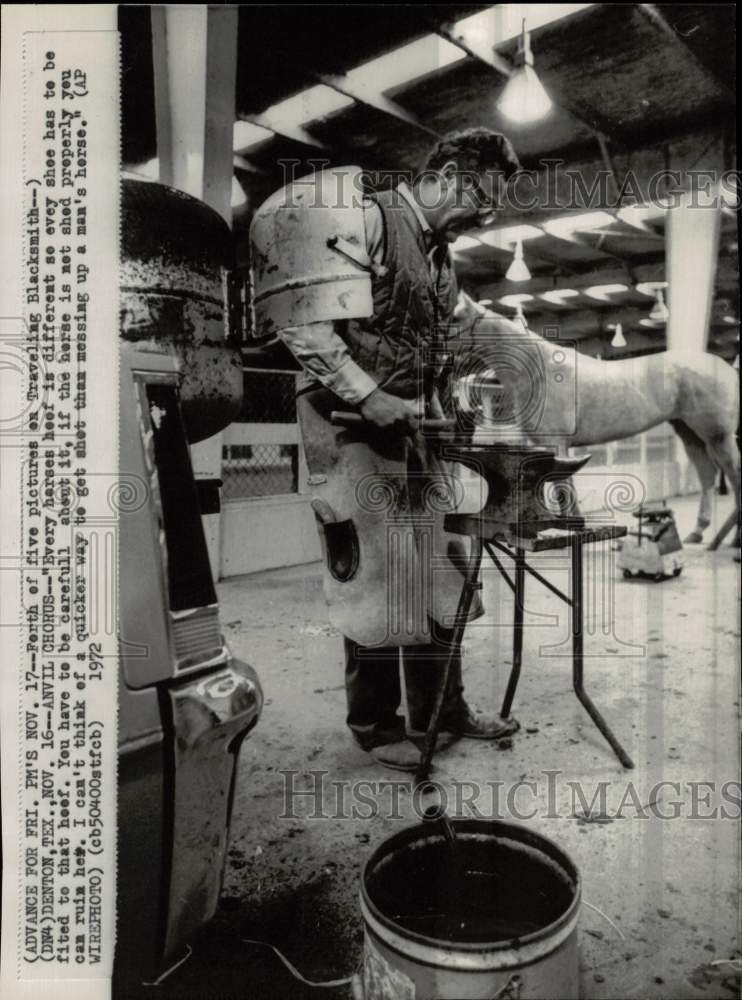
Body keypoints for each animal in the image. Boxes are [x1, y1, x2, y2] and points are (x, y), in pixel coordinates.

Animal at [450, 292, 740, 552]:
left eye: (455, 318)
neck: (540, 371)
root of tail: (728, 370)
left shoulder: (558, 444)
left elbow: (563, 491)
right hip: (690, 434)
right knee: (707, 476)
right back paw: (698, 533)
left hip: (718, 436)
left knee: (732, 474)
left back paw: (732, 541)